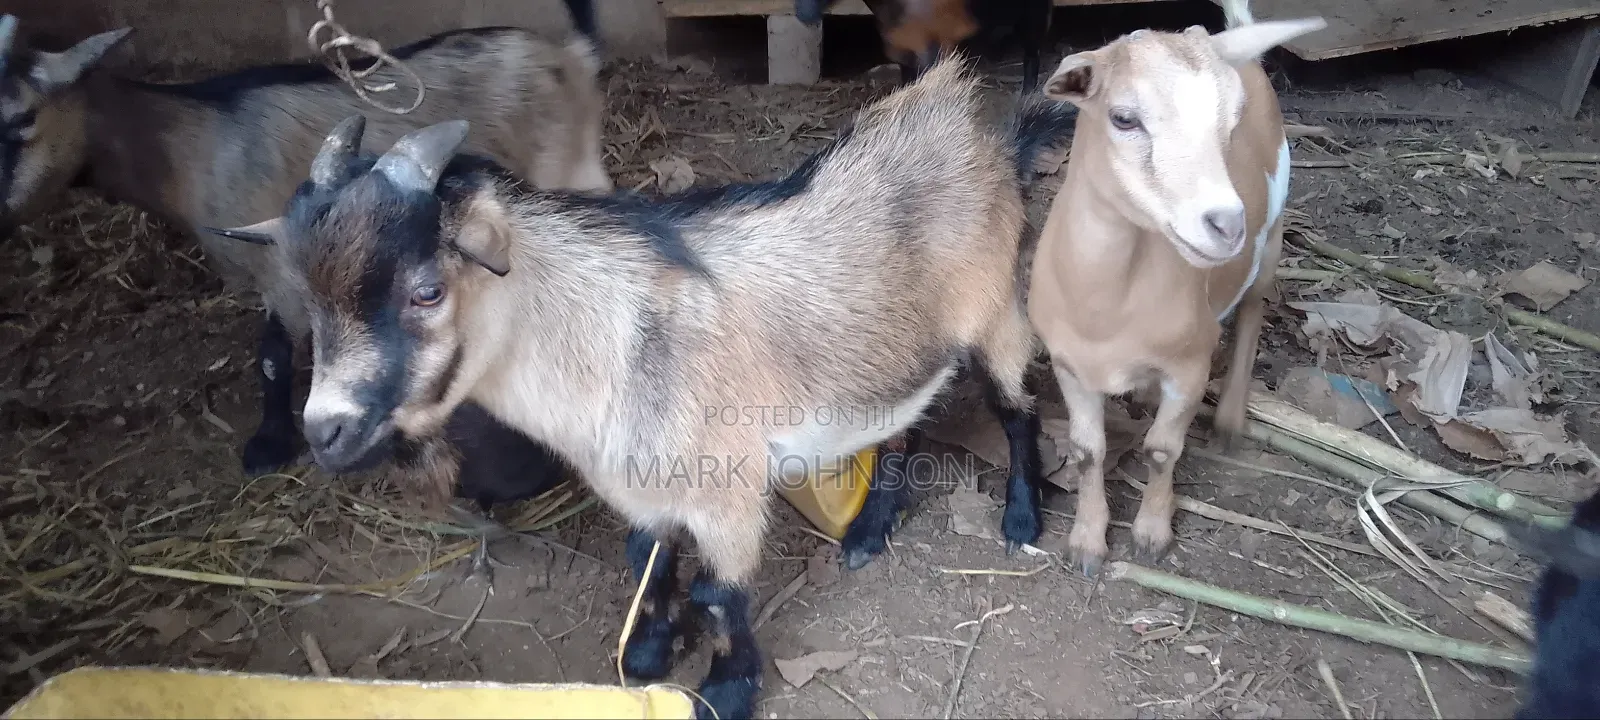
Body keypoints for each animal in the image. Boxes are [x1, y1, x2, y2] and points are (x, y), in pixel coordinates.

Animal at [0, 9, 610, 485]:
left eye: (24, 118)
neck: (190, 145)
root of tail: (568, 54)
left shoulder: (277, 270)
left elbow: (273, 354)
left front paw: (269, 444)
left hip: (569, 166)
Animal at [205, 56, 1076, 719]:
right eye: (307, 297)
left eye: (427, 290)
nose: (326, 431)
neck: (613, 345)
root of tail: (982, 130)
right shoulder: (643, 477)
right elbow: (646, 557)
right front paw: (653, 646)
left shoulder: (728, 489)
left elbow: (723, 594)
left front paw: (727, 690)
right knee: (904, 419)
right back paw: (867, 531)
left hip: (996, 311)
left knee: (1016, 407)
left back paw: (1020, 517)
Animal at [794, 0, 1053, 94]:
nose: (802, 14)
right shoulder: (903, 55)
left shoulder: (932, 51)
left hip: (1034, 15)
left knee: (1032, 54)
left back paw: (1027, 93)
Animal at [1024, 0, 1324, 574]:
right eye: (1123, 118)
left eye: (1232, 119)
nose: (1227, 224)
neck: (1109, 305)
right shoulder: (1069, 365)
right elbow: (1087, 451)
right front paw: (1087, 542)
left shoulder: (1189, 367)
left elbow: (1162, 450)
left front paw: (1152, 533)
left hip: (1273, 236)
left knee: (1254, 308)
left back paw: (1229, 418)